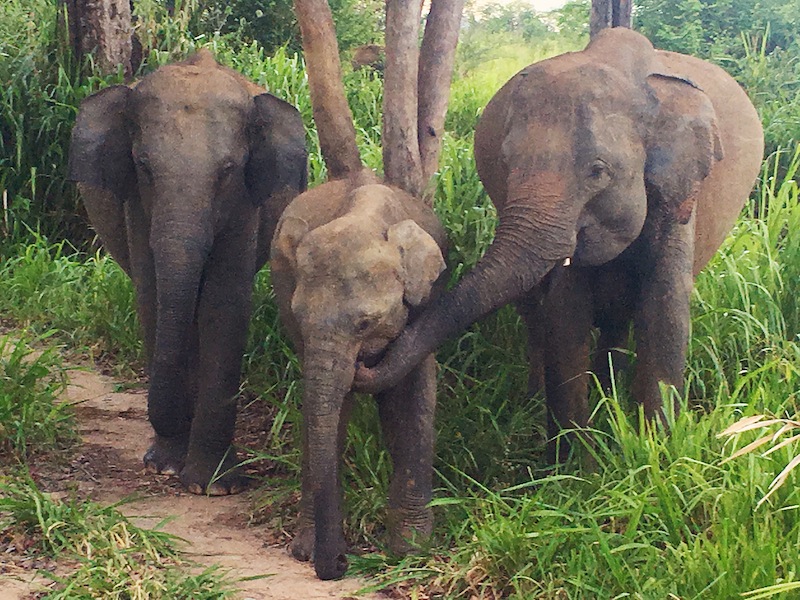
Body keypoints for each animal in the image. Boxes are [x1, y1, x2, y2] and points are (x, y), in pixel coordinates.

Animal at [69, 50, 310, 492]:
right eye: (144, 167)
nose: (157, 459)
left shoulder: (245, 201)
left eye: (229, 169)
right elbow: (152, 294)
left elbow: (223, 302)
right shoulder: (135, 202)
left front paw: (214, 485)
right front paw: (166, 466)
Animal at [268, 170, 444, 580]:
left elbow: (415, 394)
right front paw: (312, 551)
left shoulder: (426, 302)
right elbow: (329, 411)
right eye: (300, 318)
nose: (341, 563)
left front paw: (412, 550)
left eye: (365, 323)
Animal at [354, 27, 764, 460]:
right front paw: (576, 466)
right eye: (505, 162)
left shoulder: (680, 191)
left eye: (598, 171)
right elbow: (567, 318)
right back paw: (544, 399)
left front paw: (654, 451)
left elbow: (664, 309)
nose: (365, 359)